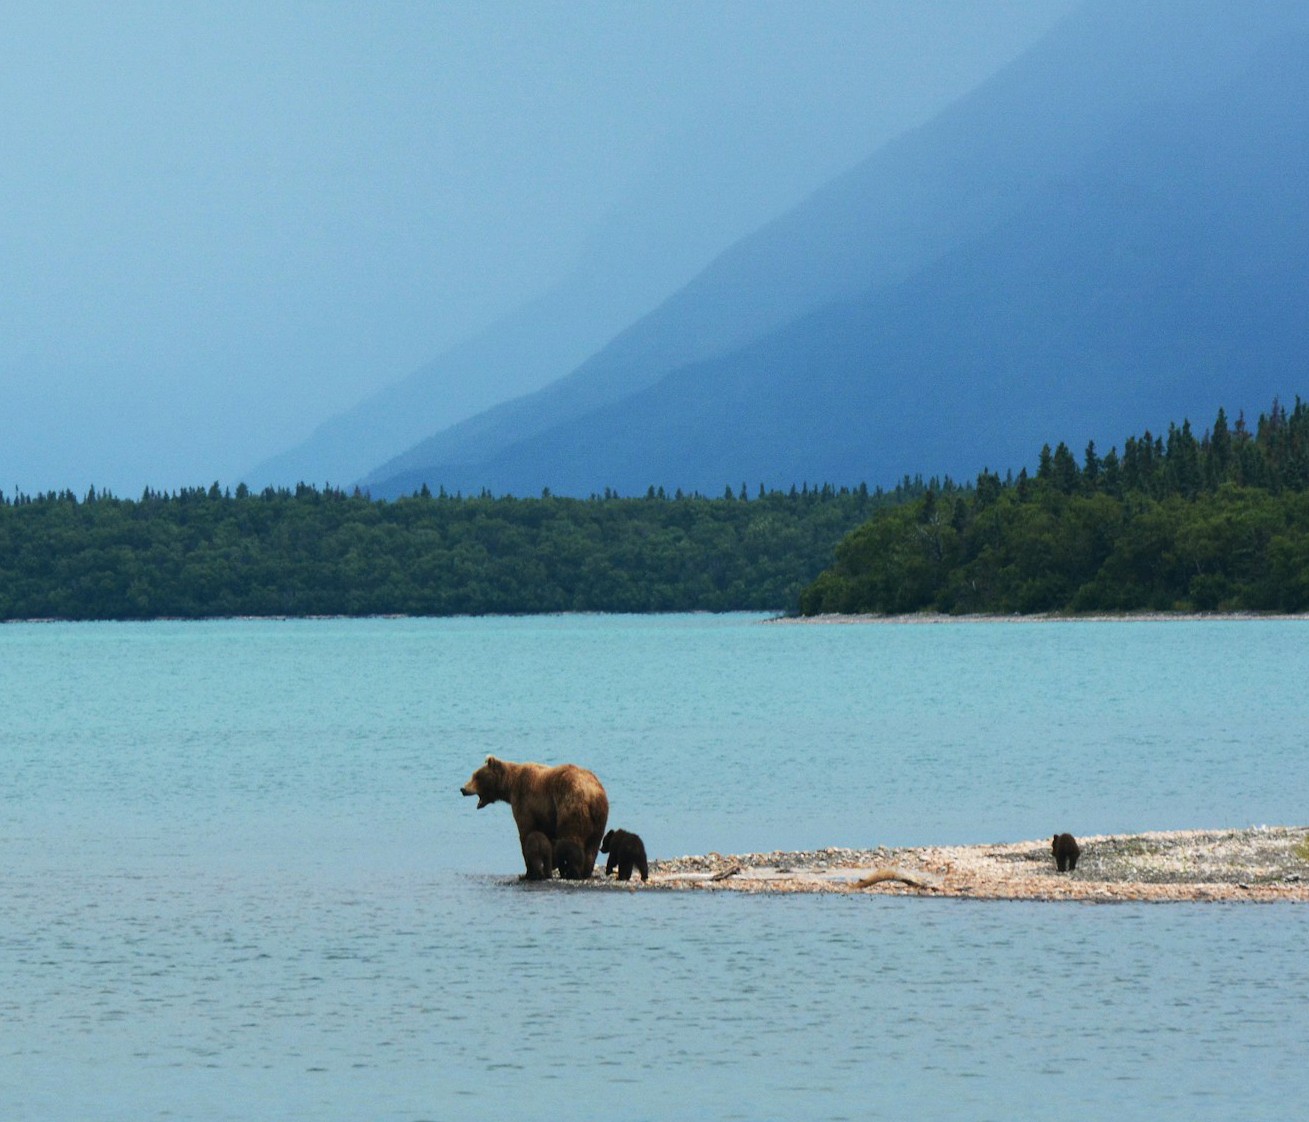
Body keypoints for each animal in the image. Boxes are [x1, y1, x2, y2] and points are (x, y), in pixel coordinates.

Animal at [460, 755, 609, 879]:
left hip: (571, 806)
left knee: (572, 839)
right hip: (600, 819)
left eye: (477, 776)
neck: (510, 786)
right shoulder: (545, 816)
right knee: (592, 847)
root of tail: (593, 795)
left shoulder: (524, 801)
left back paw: (572, 873)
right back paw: (585, 872)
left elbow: (526, 833)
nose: (463, 789)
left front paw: (529, 872)